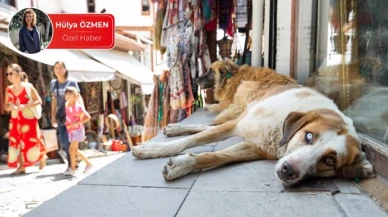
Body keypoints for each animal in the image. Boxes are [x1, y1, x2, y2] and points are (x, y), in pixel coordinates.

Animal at [132, 84, 374, 186]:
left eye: (330, 160)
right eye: (308, 136)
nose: (289, 171)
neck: (277, 133)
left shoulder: (254, 148)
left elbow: (216, 156)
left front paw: (183, 165)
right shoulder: (239, 125)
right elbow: (195, 140)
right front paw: (154, 149)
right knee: (208, 128)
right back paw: (175, 129)